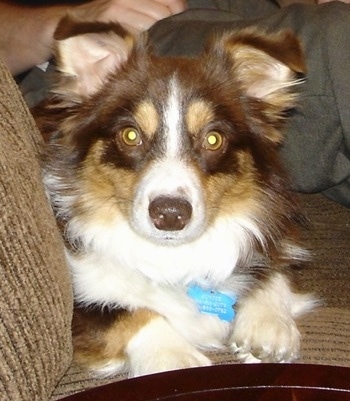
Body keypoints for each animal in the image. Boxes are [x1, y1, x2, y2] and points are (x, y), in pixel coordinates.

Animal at [35, 15, 318, 376]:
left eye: (213, 139)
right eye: (130, 135)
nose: (170, 214)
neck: (171, 257)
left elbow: (274, 265)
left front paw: (267, 324)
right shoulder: (76, 308)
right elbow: (128, 313)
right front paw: (175, 356)